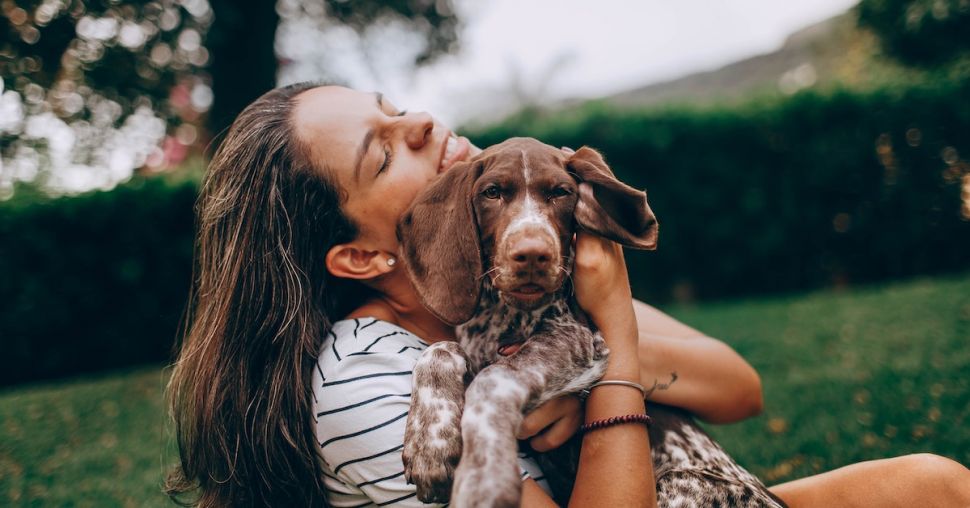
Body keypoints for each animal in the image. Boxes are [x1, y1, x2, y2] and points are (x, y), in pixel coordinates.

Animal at [394, 137, 780, 506]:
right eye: (492, 192)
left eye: (561, 193)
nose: (533, 255)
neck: (503, 313)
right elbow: (438, 350)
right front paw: (430, 442)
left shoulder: (576, 340)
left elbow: (491, 380)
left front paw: (483, 476)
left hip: (682, 480)